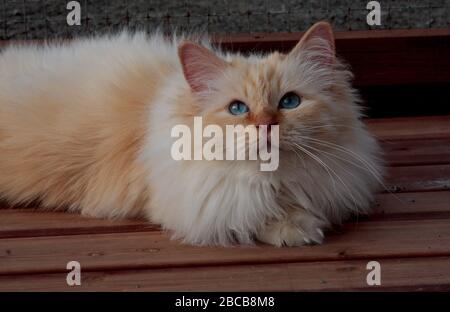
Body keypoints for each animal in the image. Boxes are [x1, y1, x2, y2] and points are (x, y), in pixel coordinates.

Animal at [0, 22, 384, 246]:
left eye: (289, 102)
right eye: (237, 109)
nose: (265, 124)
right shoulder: (196, 198)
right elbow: (245, 211)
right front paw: (295, 229)